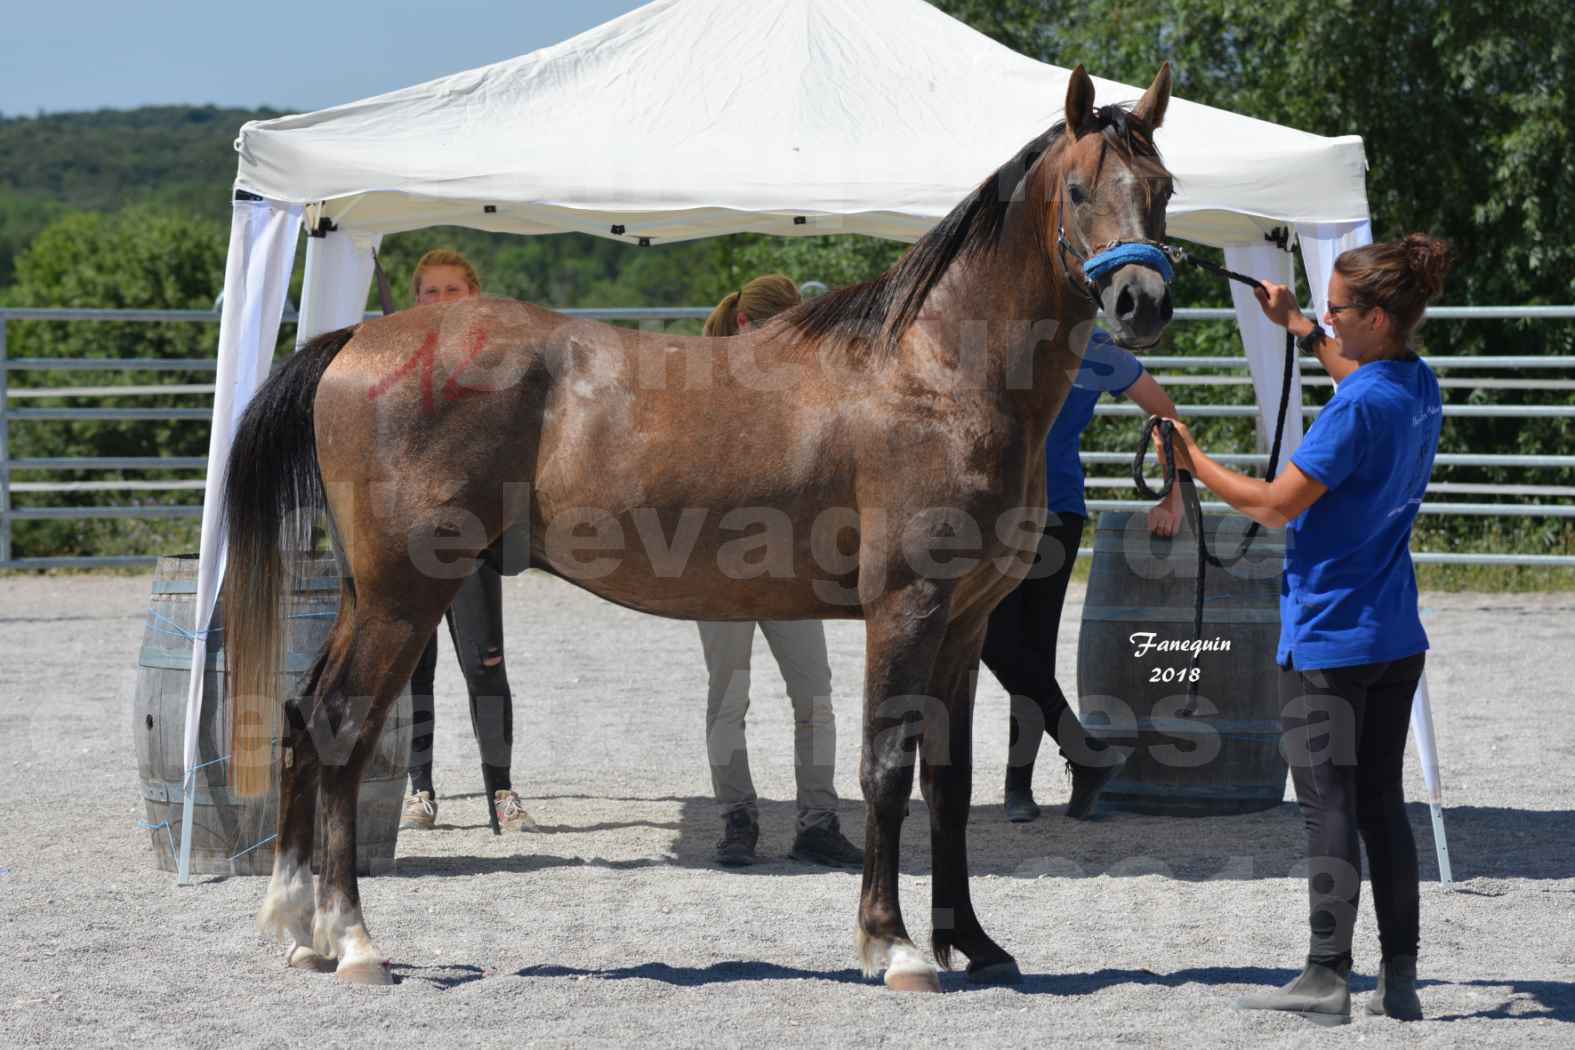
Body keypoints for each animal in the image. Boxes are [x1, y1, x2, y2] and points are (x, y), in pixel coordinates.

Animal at [228, 65, 1178, 994]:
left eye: (1163, 188)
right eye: (1080, 188)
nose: (1141, 302)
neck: (932, 372)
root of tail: (359, 342)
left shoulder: (966, 622)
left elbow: (948, 780)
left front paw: (973, 943)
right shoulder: (906, 608)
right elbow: (885, 768)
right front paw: (896, 947)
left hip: (369, 594)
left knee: (303, 716)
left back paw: (298, 930)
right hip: (404, 597)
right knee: (341, 727)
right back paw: (353, 942)